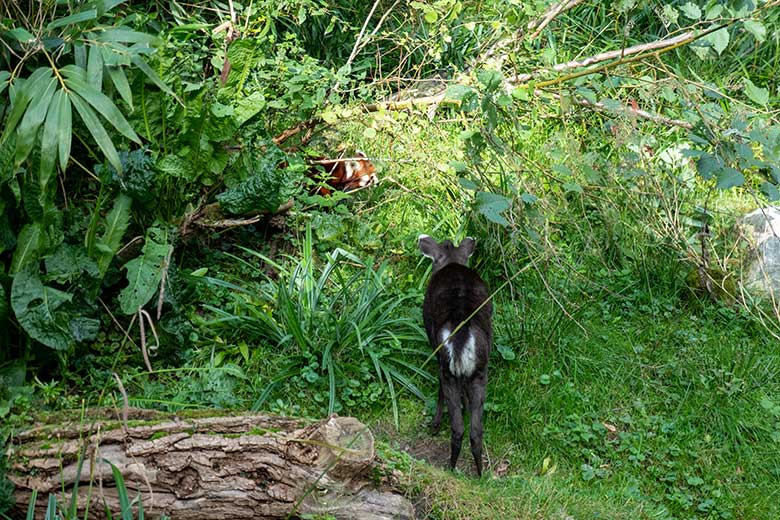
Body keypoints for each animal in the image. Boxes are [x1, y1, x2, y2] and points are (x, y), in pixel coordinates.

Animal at [418, 235, 490, 476]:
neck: (452, 261)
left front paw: (434, 424)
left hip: (447, 365)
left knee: (457, 427)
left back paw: (450, 467)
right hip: (480, 370)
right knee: (476, 431)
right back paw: (480, 474)